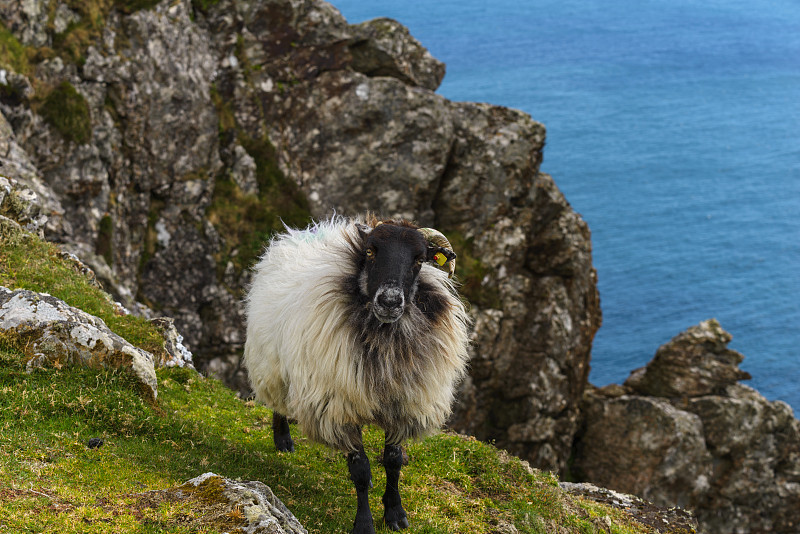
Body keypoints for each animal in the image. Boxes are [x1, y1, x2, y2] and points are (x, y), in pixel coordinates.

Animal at [244, 216, 468, 534]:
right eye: (371, 251)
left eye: (419, 259)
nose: (390, 301)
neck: (384, 342)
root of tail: (301, 233)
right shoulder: (340, 408)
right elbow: (360, 469)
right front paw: (364, 523)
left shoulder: (402, 404)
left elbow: (393, 462)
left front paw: (395, 512)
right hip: (272, 363)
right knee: (278, 401)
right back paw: (283, 439)